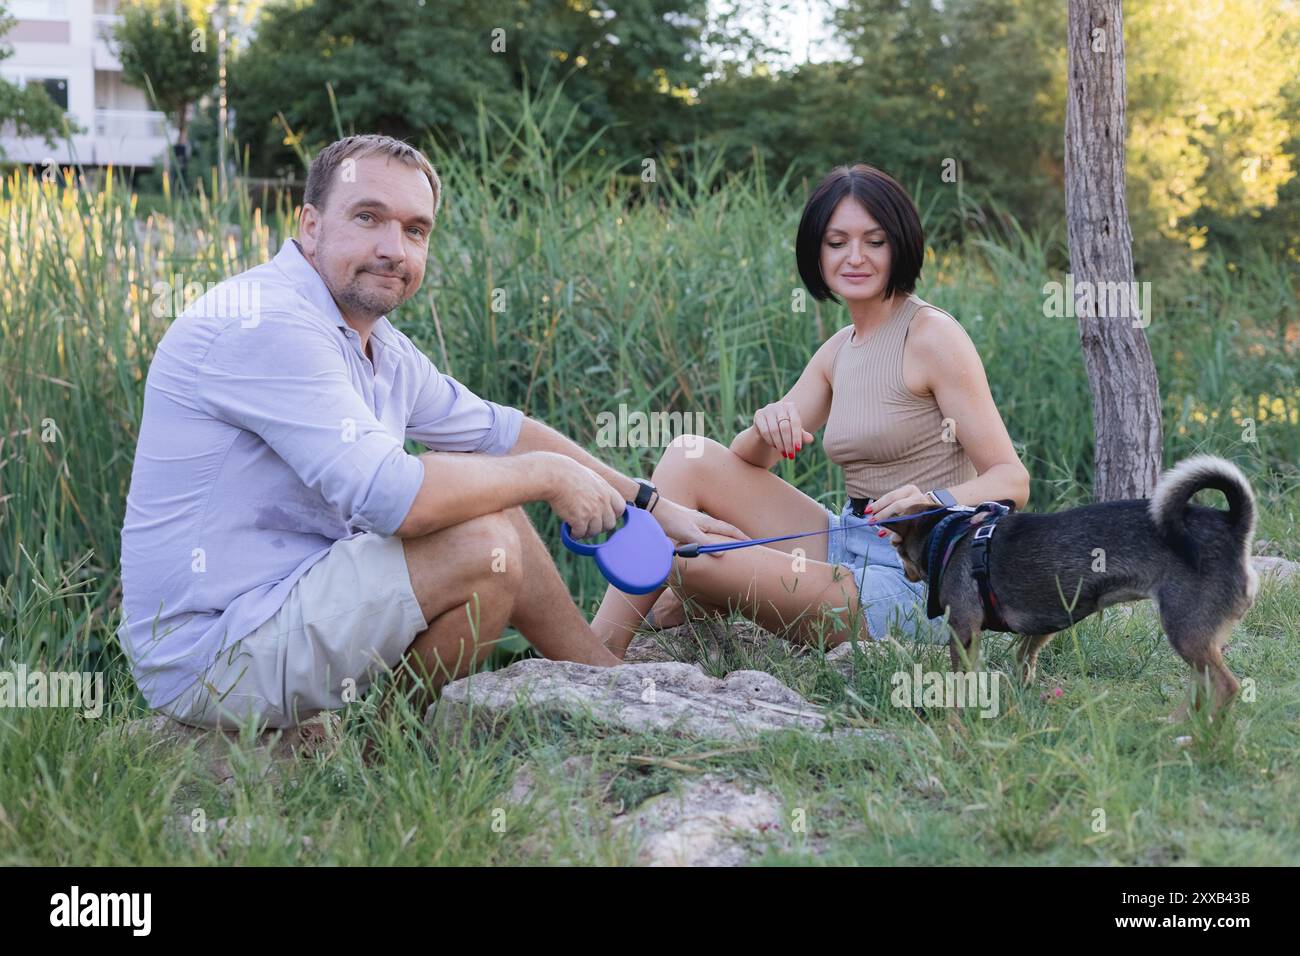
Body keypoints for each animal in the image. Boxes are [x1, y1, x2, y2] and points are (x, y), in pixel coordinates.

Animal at [883, 455, 1258, 717]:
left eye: (897, 546)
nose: (904, 569)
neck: (952, 533)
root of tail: (1234, 526)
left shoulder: (963, 629)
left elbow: (962, 680)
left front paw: (960, 714)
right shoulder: (1046, 622)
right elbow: (1025, 656)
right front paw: (1022, 691)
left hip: (1185, 628)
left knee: (1225, 686)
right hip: (1198, 639)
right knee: (1203, 686)